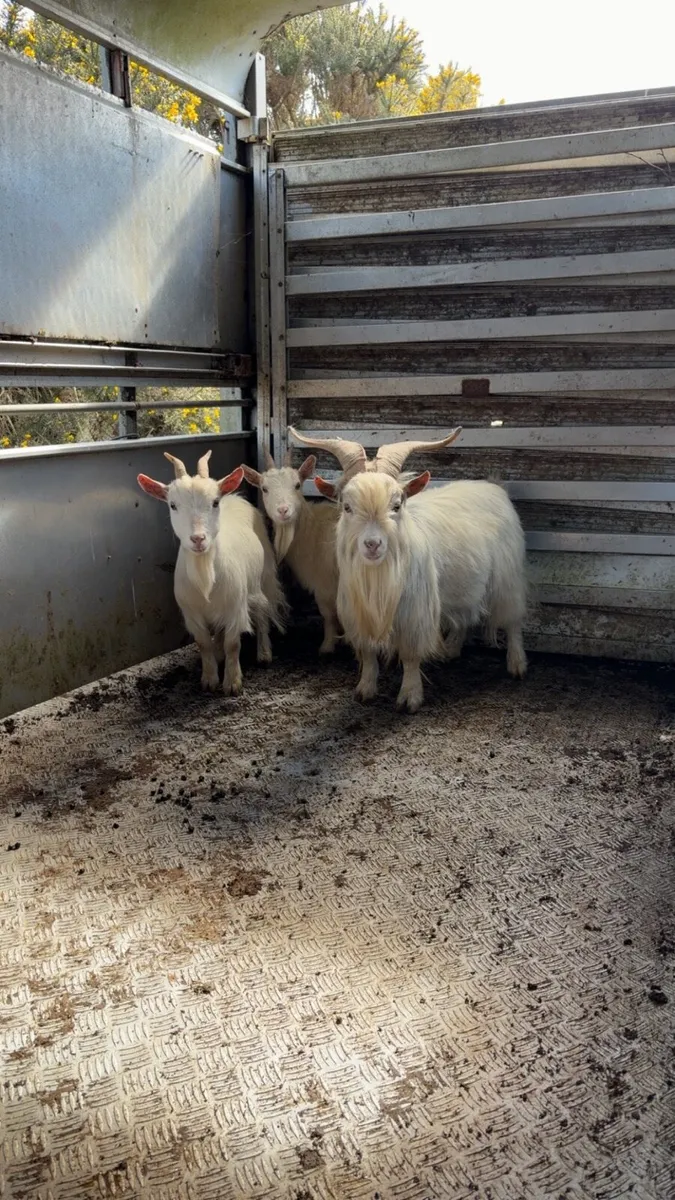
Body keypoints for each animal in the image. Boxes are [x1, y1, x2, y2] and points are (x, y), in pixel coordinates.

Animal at [137, 449, 286, 695]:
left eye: (215, 502)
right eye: (173, 505)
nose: (198, 539)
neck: (205, 572)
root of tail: (235, 497)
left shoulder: (236, 607)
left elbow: (233, 644)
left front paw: (232, 683)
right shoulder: (192, 613)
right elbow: (204, 643)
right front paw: (209, 679)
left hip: (263, 576)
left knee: (263, 611)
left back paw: (264, 653)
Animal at [241, 449, 340, 653]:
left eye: (297, 485)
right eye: (264, 488)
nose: (283, 510)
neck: (313, 529)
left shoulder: (325, 583)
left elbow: (329, 615)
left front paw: (327, 646)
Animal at [289, 427, 528, 712]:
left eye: (397, 505)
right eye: (347, 507)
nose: (372, 544)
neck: (379, 575)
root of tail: (494, 486)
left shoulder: (415, 614)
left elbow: (411, 655)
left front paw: (409, 697)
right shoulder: (358, 614)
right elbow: (368, 654)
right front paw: (365, 690)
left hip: (508, 577)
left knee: (513, 619)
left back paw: (517, 665)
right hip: (465, 582)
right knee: (465, 614)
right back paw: (452, 649)